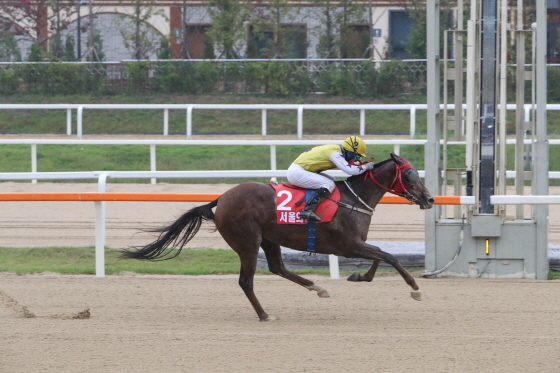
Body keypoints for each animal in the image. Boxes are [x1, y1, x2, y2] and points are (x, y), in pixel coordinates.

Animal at [122, 153, 436, 322]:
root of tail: (221, 198)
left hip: (269, 238)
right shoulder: (347, 245)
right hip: (247, 242)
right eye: (410, 174)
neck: (351, 199)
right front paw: (415, 289)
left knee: (277, 267)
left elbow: (381, 255)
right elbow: (389, 255)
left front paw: (359, 277)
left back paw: (316, 287)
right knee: (246, 281)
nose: (430, 199)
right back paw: (264, 314)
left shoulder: (354, 245)